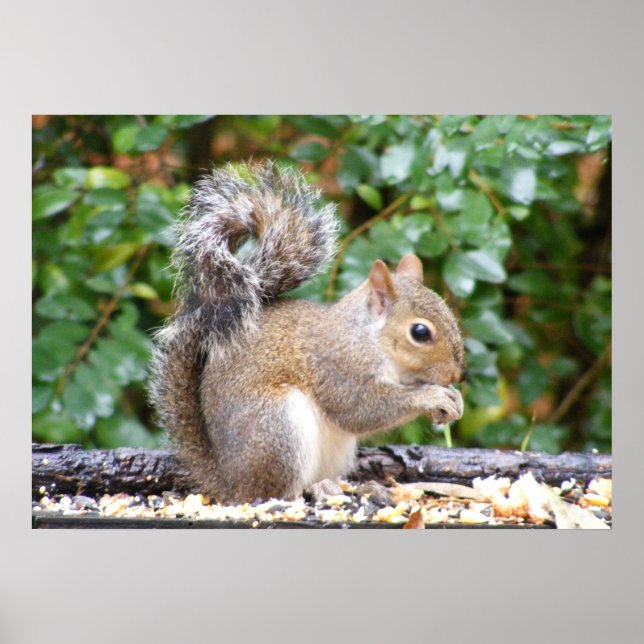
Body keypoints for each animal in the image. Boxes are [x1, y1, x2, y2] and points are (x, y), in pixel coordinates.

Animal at [149, 161, 466, 504]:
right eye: (420, 332)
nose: (456, 376)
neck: (368, 339)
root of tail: (227, 481)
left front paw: (453, 399)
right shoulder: (339, 368)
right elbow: (360, 410)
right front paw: (431, 396)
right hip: (278, 428)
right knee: (275, 493)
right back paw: (315, 489)